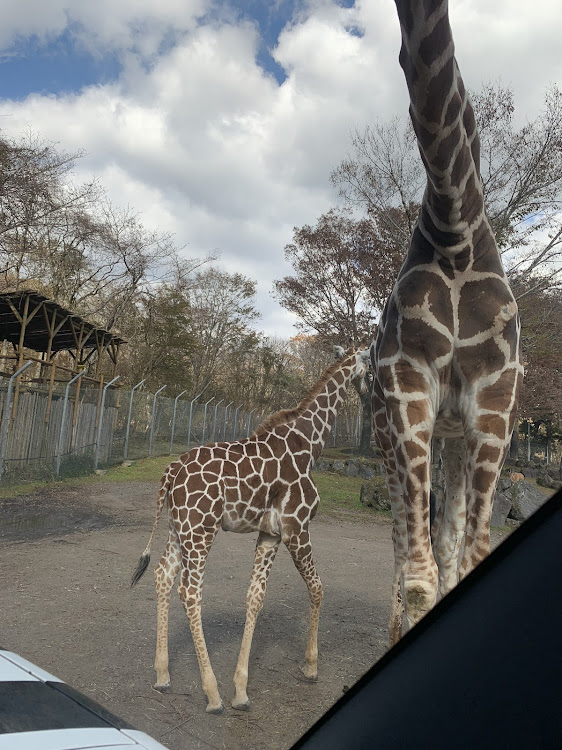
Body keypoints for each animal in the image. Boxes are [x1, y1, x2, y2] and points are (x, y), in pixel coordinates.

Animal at [131, 344, 368, 712]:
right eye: (368, 363)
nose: (370, 389)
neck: (309, 445)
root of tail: (170, 472)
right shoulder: (297, 527)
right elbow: (317, 588)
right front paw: (311, 667)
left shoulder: (271, 533)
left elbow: (254, 597)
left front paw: (241, 690)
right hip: (200, 528)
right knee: (190, 591)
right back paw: (211, 693)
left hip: (176, 528)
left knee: (162, 576)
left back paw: (162, 676)